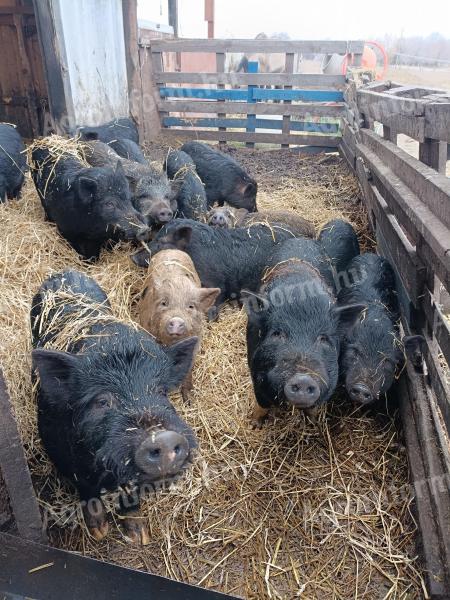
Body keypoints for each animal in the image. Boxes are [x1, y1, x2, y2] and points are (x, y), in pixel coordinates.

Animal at [31, 272, 197, 544]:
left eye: (161, 391)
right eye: (102, 401)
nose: (162, 438)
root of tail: (64, 271)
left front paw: (140, 536)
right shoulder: (62, 455)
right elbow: (86, 487)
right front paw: (99, 532)